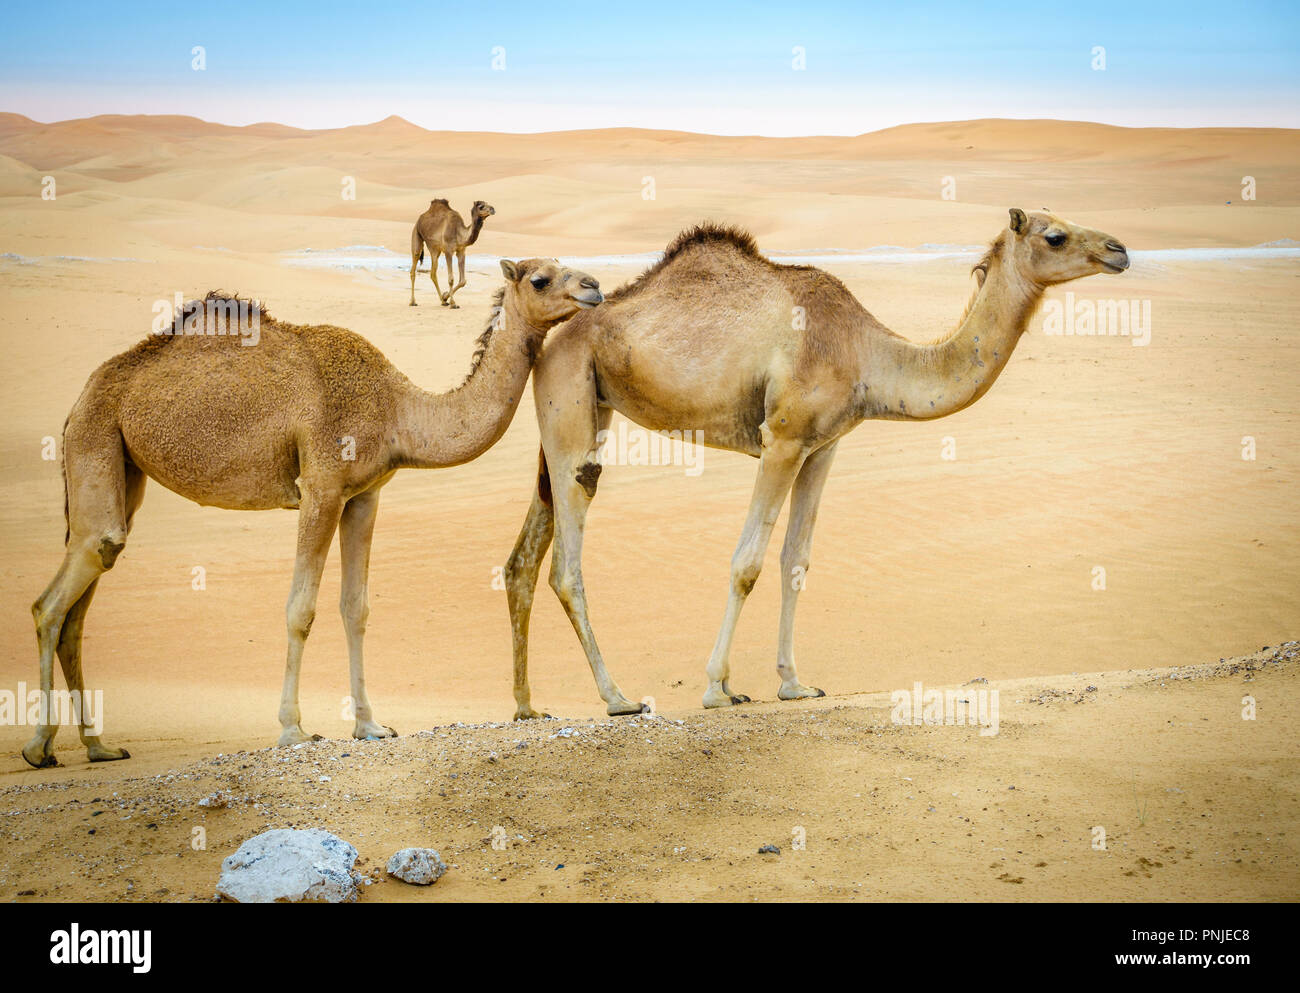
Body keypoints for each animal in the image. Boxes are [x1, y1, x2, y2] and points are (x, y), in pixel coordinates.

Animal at [24, 257, 603, 769]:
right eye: (541, 277)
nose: (594, 286)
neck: (398, 411)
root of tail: (81, 397)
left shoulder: (364, 495)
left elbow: (356, 607)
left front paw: (370, 725)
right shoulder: (321, 486)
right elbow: (300, 609)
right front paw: (292, 729)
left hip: (124, 465)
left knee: (83, 595)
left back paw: (98, 746)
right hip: (96, 437)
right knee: (58, 595)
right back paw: (39, 747)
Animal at [501, 211, 1133, 722]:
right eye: (1055, 235)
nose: (1119, 249)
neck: (866, 354)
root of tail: (549, 341)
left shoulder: (823, 446)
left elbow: (796, 561)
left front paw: (794, 684)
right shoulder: (781, 438)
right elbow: (747, 563)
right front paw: (717, 688)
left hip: (588, 411)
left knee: (524, 560)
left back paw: (530, 706)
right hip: (570, 404)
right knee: (567, 563)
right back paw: (617, 699)